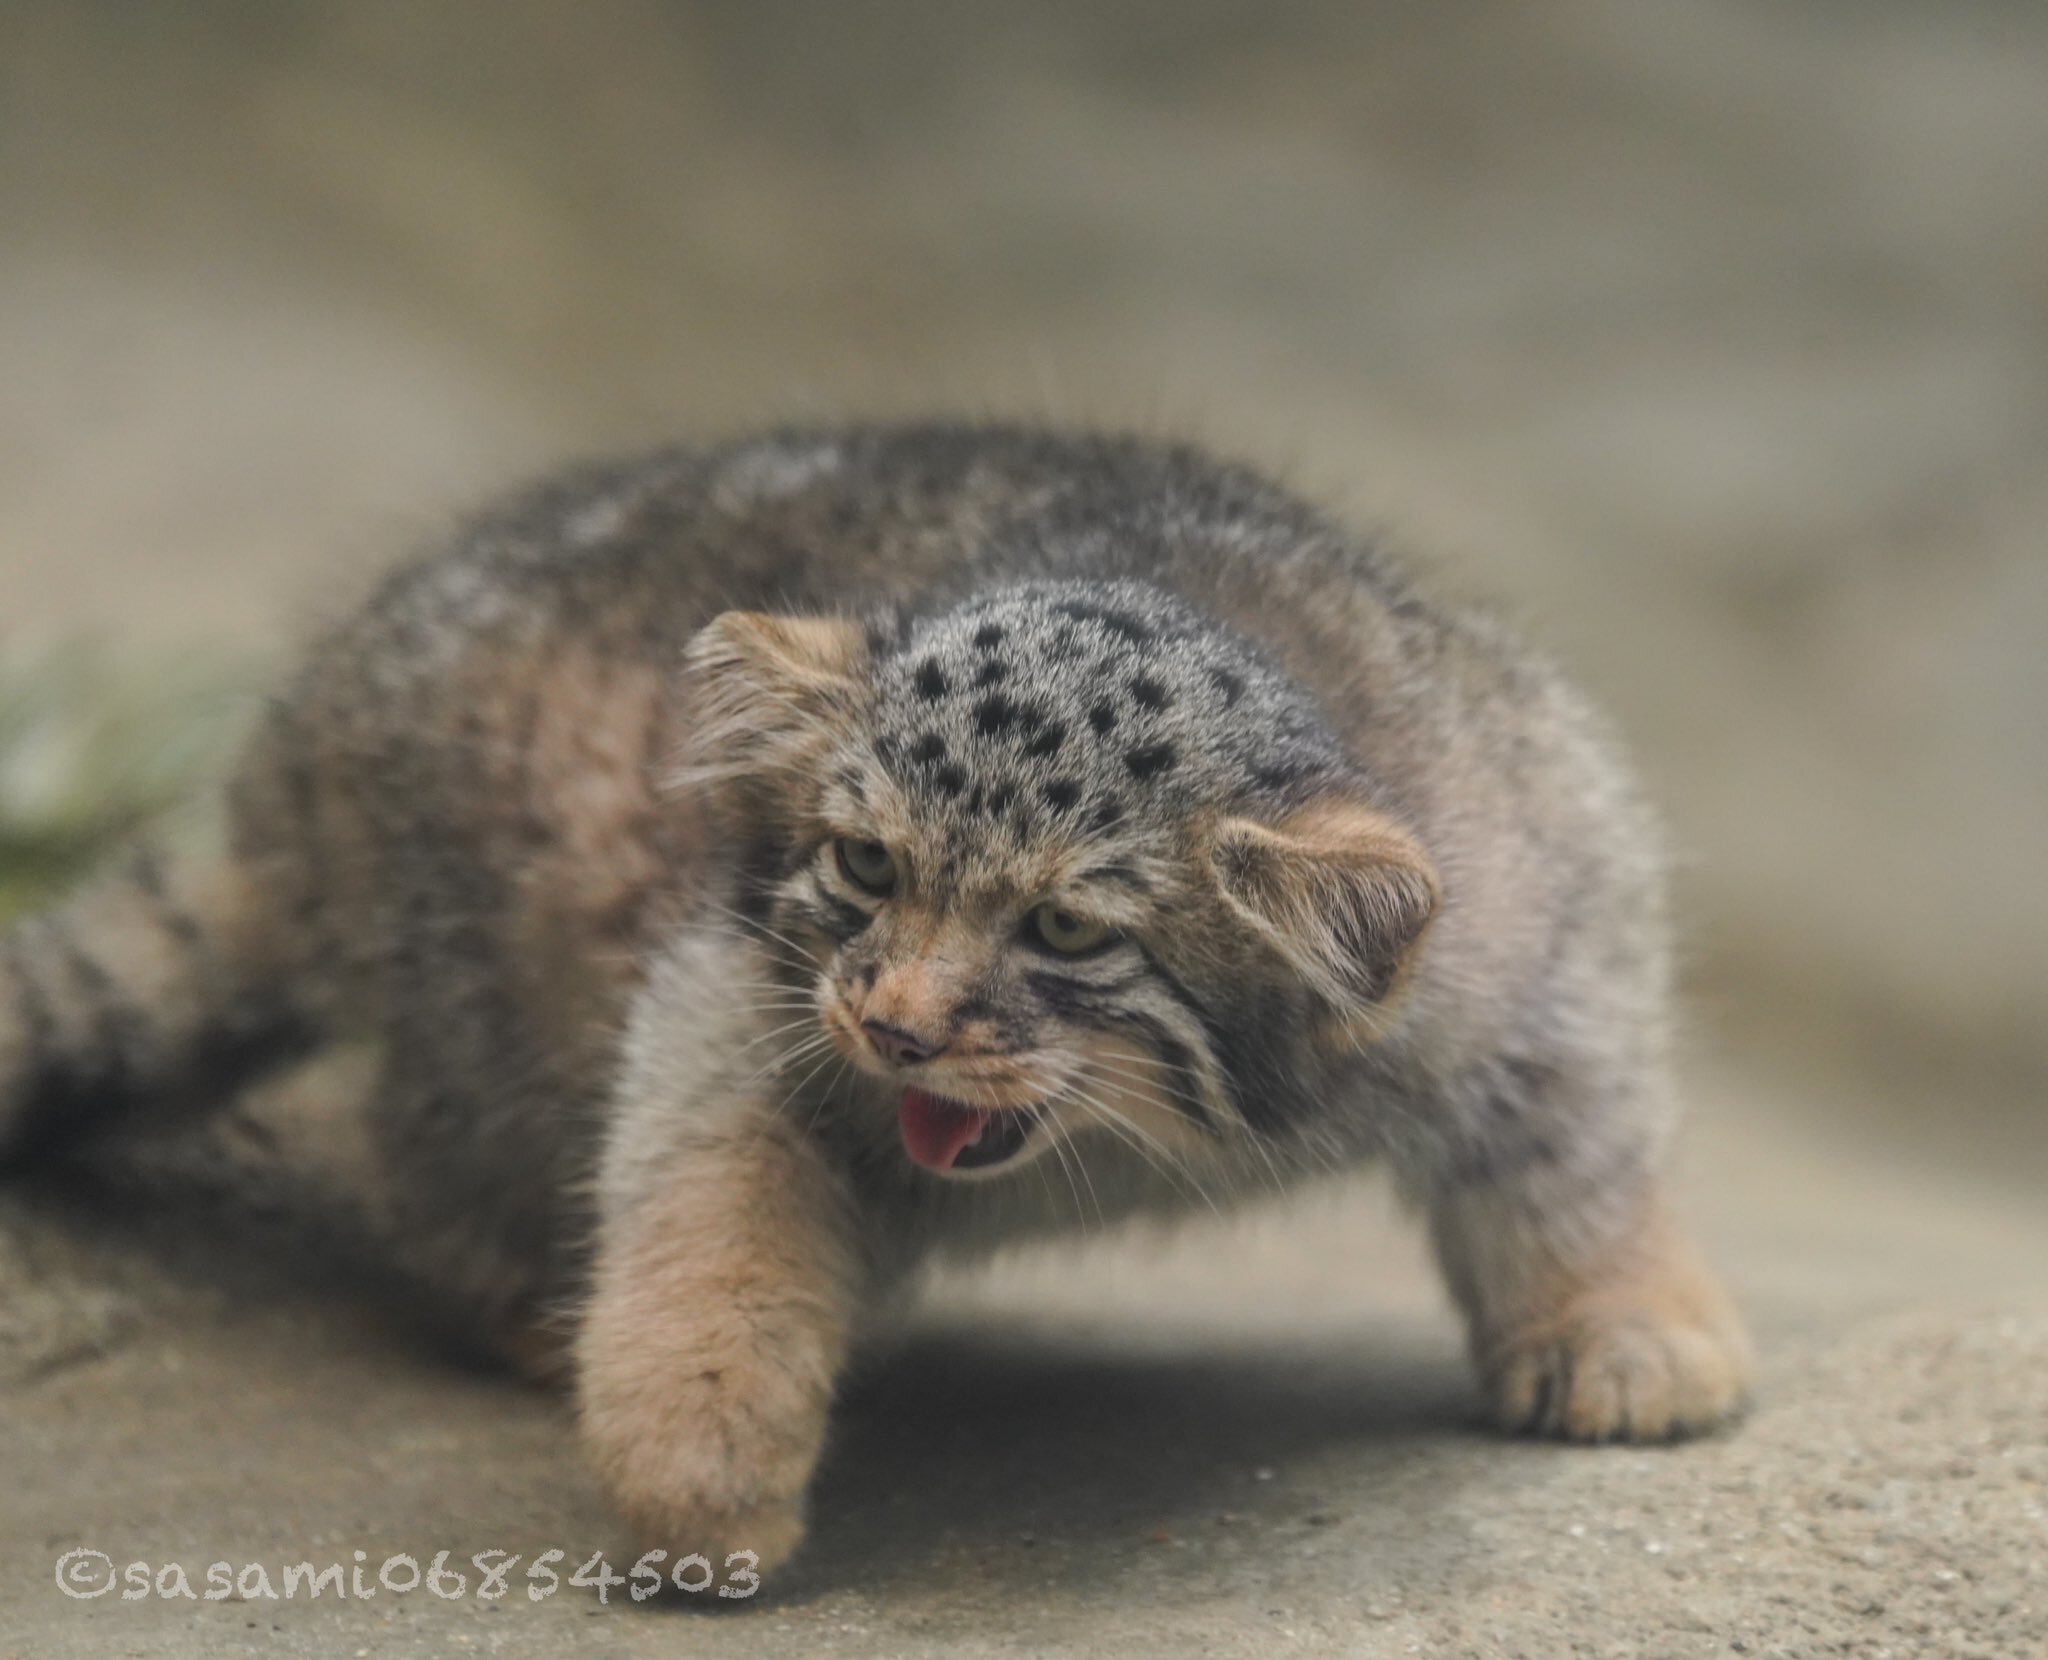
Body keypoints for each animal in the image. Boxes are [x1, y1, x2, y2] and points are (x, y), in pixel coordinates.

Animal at [8, 425, 1753, 1571]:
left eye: (1064, 929)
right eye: (862, 862)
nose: (896, 1026)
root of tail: (290, 785)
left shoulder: (1562, 878)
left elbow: (1581, 1143)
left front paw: (1627, 1331)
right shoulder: (739, 992)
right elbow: (712, 1214)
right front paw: (698, 1457)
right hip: (498, 985)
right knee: (421, 1159)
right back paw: (527, 1308)